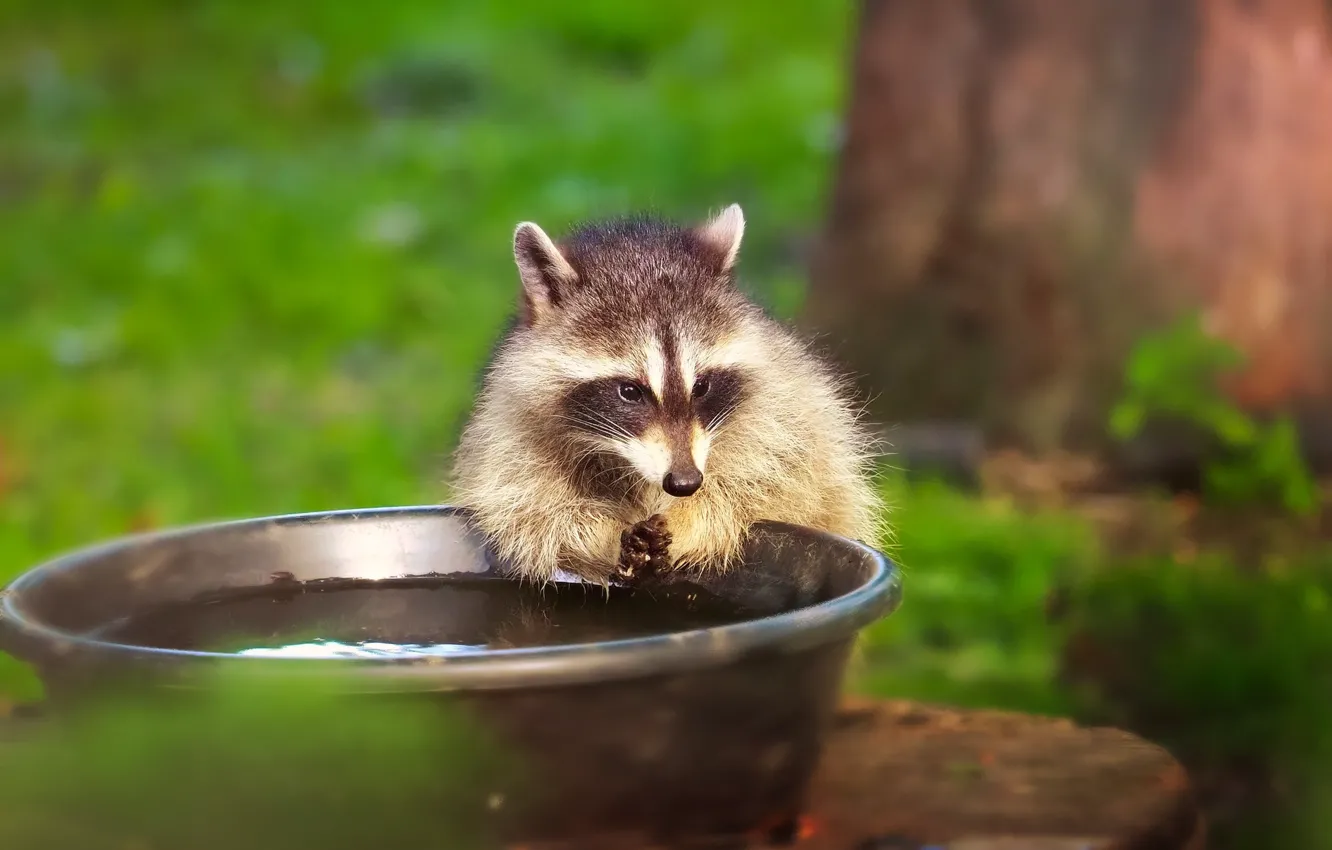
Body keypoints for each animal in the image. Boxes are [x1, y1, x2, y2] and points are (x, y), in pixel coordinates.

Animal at [449, 204, 885, 584]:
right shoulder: (510, 430)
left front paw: (692, 516)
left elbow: (776, 484)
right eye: (630, 392)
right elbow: (529, 511)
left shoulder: (787, 406)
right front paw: (600, 534)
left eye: (702, 386)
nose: (685, 482)